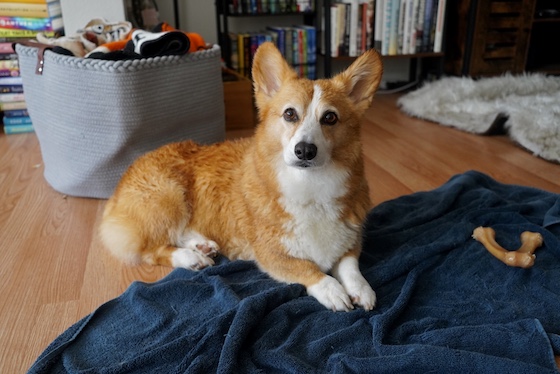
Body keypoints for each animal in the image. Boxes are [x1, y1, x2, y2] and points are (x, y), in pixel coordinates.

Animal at [98, 41, 382, 312]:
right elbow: (307, 268)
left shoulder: (350, 240)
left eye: (330, 117)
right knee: (151, 250)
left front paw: (362, 289)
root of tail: (120, 185)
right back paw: (191, 258)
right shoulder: (271, 254)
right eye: (290, 114)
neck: (310, 187)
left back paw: (202, 245)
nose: (304, 150)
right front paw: (332, 291)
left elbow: (350, 265)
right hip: (169, 198)